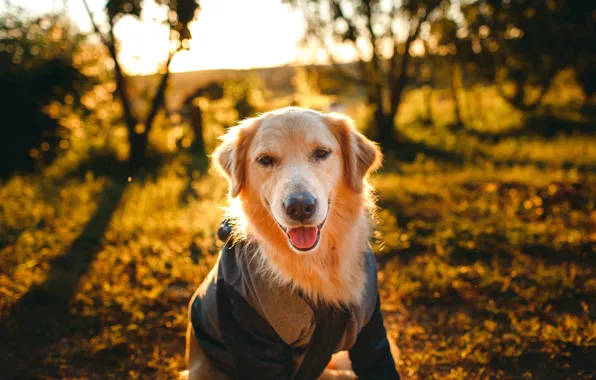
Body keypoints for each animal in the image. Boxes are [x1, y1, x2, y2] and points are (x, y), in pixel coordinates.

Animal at [184, 107, 398, 380]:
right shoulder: (250, 337)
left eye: (321, 153)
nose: (300, 207)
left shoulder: (370, 328)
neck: (318, 261)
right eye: (265, 160)